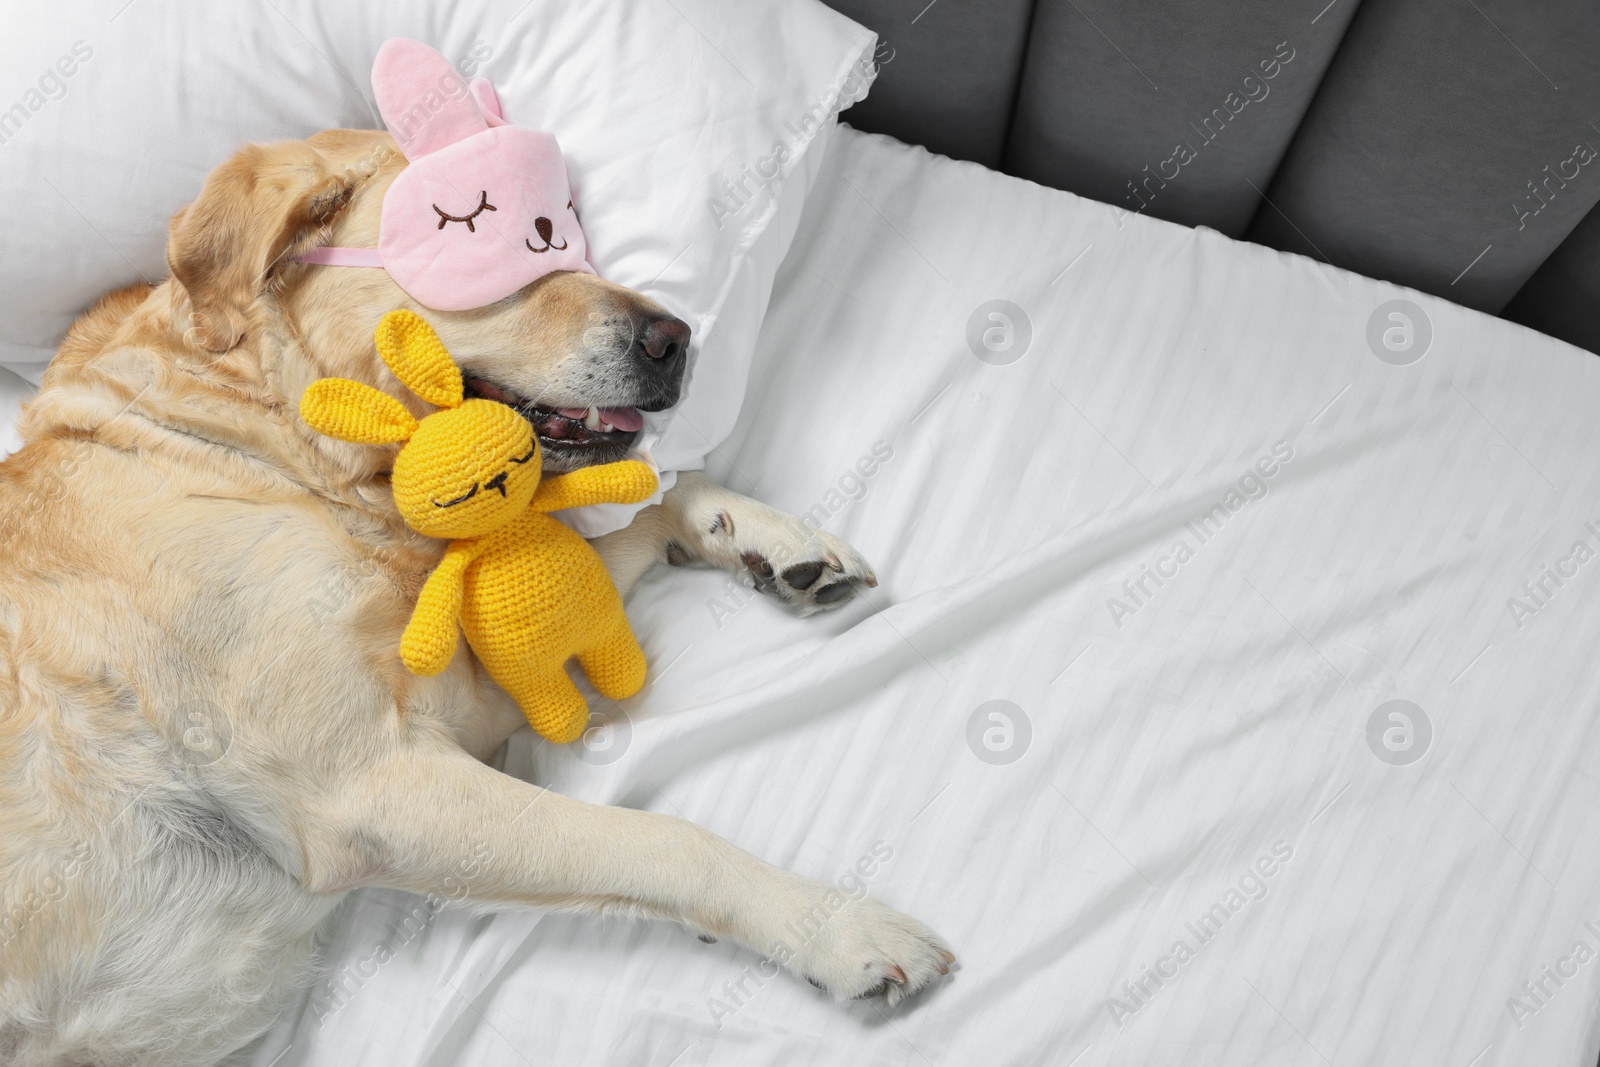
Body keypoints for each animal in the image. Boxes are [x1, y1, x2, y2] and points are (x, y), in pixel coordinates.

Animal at [0, 131, 947, 1067]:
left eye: (566, 225)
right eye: (486, 239)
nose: (677, 339)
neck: (256, 436)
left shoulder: (455, 700)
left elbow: (644, 502)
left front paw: (769, 538)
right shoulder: (372, 787)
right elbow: (662, 838)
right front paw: (836, 926)